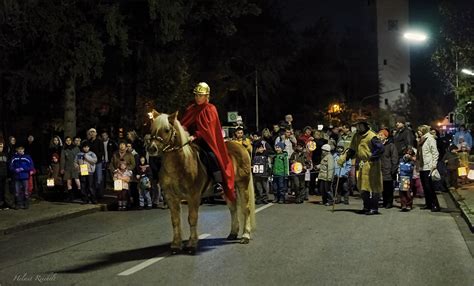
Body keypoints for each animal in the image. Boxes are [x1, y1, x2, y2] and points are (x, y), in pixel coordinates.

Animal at [147, 110, 256, 254]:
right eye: (151, 129)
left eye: (166, 130)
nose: (152, 149)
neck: (179, 164)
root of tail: (240, 146)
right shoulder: (171, 197)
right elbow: (175, 221)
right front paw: (176, 245)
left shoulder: (193, 196)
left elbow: (192, 218)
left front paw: (192, 244)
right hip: (227, 188)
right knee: (233, 208)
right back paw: (233, 233)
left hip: (242, 184)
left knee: (246, 208)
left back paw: (245, 236)